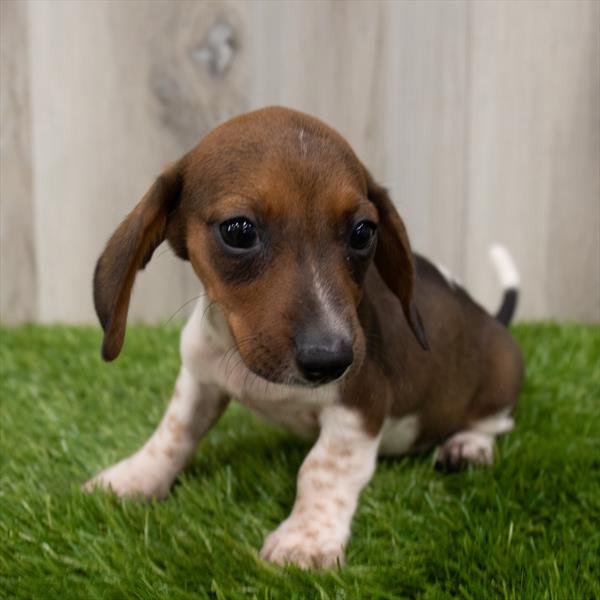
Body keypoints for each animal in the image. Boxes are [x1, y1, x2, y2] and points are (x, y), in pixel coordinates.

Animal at [86, 105, 524, 568]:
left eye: (363, 232)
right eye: (238, 231)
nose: (331, 360)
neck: (244, 359)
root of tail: (493, 319)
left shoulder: (360, 405)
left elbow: (321, 468)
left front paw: (306, 538)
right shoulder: (199, 380)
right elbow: (172, 435)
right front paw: (136, 478)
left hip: (500, 379)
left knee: (496, 421)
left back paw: (468, 446)